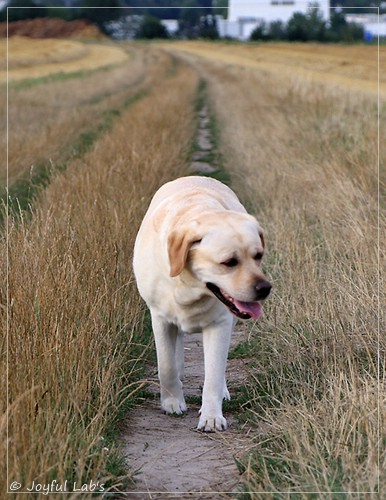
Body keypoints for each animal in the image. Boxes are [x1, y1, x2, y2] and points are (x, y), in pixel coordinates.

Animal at [133, 175, 272, 430]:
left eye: (258, 256)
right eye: (229, 262)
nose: (264, 288)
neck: (190, 288)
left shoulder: (220, 324)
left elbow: (214, 374)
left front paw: (211, 416)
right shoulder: (159, 317)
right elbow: (166, 365)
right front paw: (172, 402)